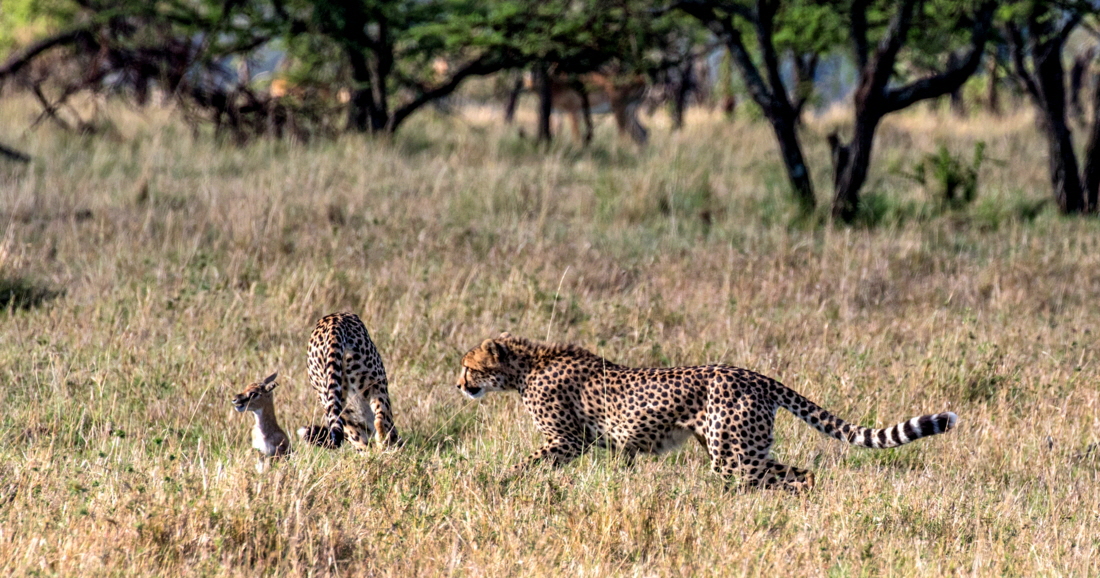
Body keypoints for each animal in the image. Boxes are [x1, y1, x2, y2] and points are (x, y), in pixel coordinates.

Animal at [455, 332, 954, 491]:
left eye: (468, 366)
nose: (458, 385)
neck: (527, 366)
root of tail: (756, 375)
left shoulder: (566, 441)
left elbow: (526, 464)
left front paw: (496, 481)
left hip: (733, 455)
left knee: (796, 476)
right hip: (738, 450)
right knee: (795, 476)